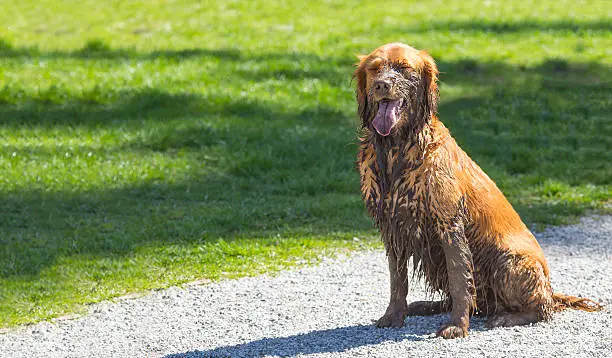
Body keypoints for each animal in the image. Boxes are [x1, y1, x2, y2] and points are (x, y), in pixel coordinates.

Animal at [354, 42, 604, 338]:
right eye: (374, 68)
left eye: (404, 68)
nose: (382, 85)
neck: (396, 150)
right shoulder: (392, 226)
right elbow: (397, 280)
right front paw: (394, 315)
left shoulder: (448, 224)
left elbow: (461, 281)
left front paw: (457, 326)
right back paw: (425, 305)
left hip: (507, 260)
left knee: (543, 309)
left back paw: (504, 317)